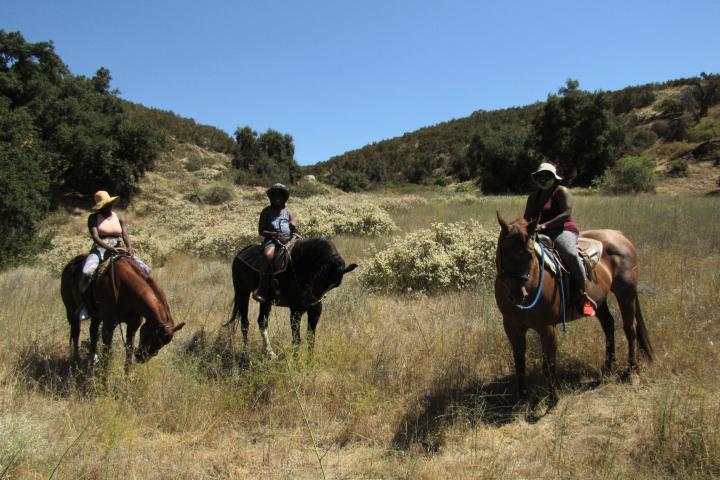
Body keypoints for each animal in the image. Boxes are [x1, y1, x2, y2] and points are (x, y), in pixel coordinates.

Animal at [226, 238, 357, 362]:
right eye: (320, 277)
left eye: (333, 286)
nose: (308, 301)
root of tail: (240, 253)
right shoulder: (295, 311)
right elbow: (296, 340)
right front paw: (296, 363)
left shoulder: (315, 311)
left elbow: (311, 339)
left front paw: (310, 363)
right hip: (242, 292)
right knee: (245, 324)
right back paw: (246, 356)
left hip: (265, 301)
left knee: (262, 322)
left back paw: (270, 353)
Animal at [494, 213, 653, 404]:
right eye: (504, 251)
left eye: (530, 254)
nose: (518, 294)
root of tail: (618, 234)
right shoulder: (511, 326)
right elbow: (519, 361)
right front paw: (522, 398)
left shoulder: (546, 327)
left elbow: (549, 364)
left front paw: (553, 401)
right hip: (599, 301)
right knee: (608, 325)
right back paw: (608, 368)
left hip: (626, 293)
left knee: (630, 329)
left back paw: (632, 373)